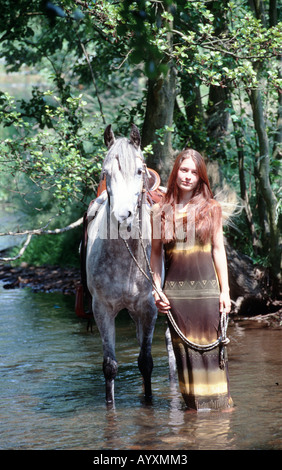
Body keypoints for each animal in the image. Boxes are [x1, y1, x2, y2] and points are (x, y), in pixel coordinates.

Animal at [86, 125, 159, 404]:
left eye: (139, 171)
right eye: (105, 173)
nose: (123, 216)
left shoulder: (149, 308)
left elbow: (146, 362)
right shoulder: (102, 309)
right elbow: (110, 366)